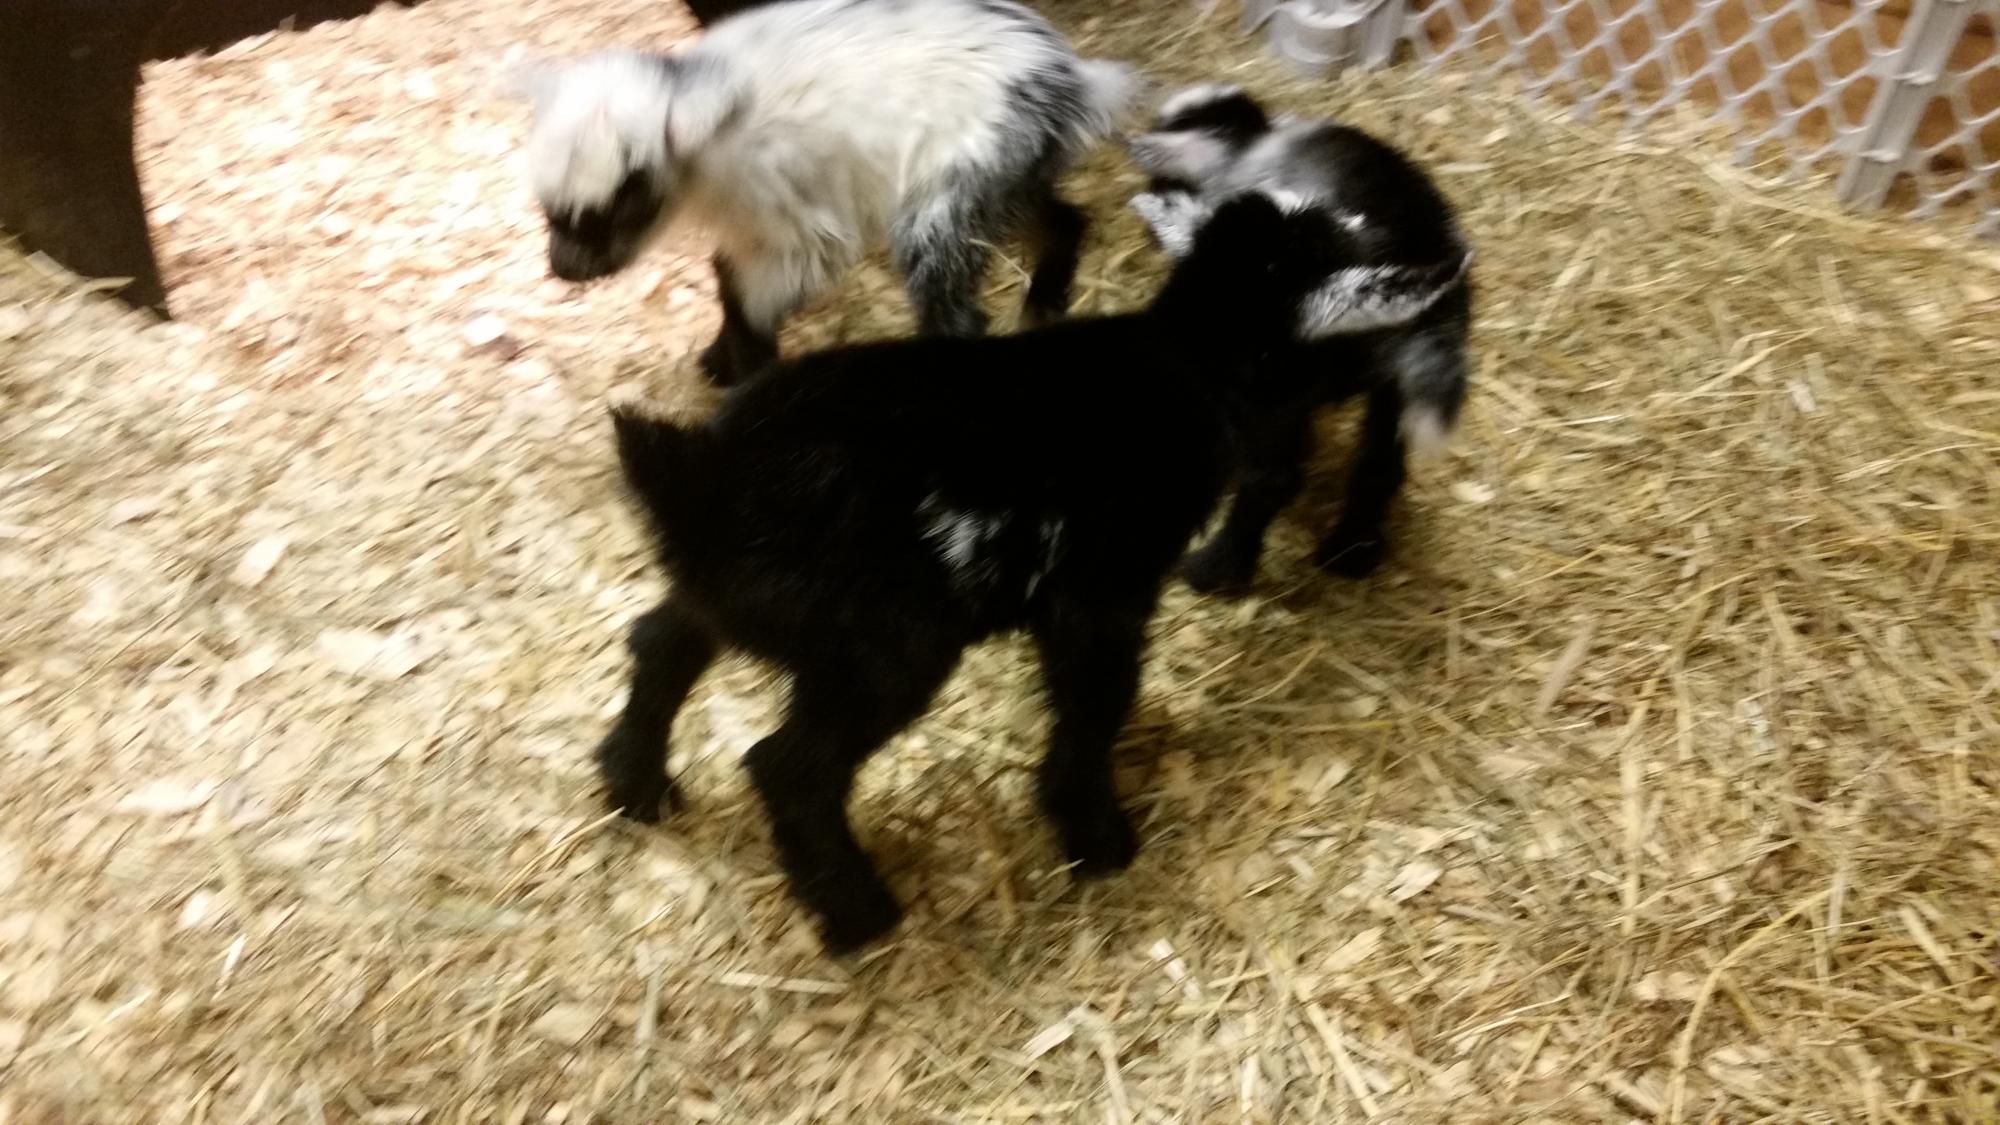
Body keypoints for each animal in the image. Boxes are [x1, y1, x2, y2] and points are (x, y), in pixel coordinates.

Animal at [506, 0, 1142, 386]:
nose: (565, 269)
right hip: (1004, 171)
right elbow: (726, 276)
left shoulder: (799, 221)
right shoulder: (751, 223)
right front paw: (718, 358)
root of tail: (1072, 80)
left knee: (951, 298)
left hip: (952, 185)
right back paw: (1046, 296)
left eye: (619, 202)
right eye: (550, 211)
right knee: (1063, 214)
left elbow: (752, 294)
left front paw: (746, 370)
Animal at [595, 190, 1470, 953]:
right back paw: (859, 911)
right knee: (787, 767)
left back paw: (634, 782)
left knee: (660, 638)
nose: (1399, 367)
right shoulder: (1103, 590)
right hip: (883, 648)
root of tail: (703, 483)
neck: (1186, 356)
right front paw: (1098, 838)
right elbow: (1093, 707)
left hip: (734, 597)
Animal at [1125, 83, 1474, 589]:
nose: (1138, 149)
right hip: (1391, 384)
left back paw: (1215, 568)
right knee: (1379, 465)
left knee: (1273, 476)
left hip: (1271, 392)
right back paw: (1351, 552)